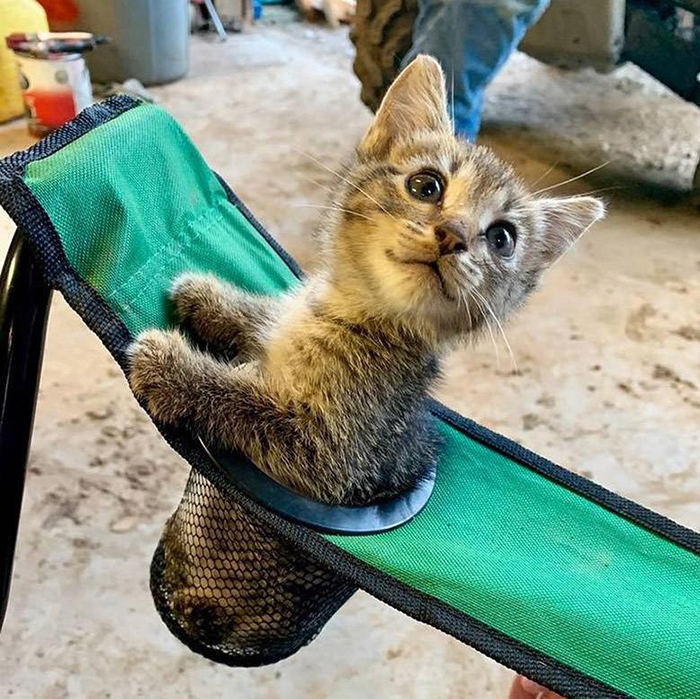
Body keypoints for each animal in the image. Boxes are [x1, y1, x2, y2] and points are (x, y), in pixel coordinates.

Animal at [129, 53, 604, 504]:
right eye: (426, 186)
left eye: (502, 238)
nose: (453, 235)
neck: (354, 311)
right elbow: (268, 318)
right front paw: (210, 297)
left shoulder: (333, 459)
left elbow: (247, 404)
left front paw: (173, 367)